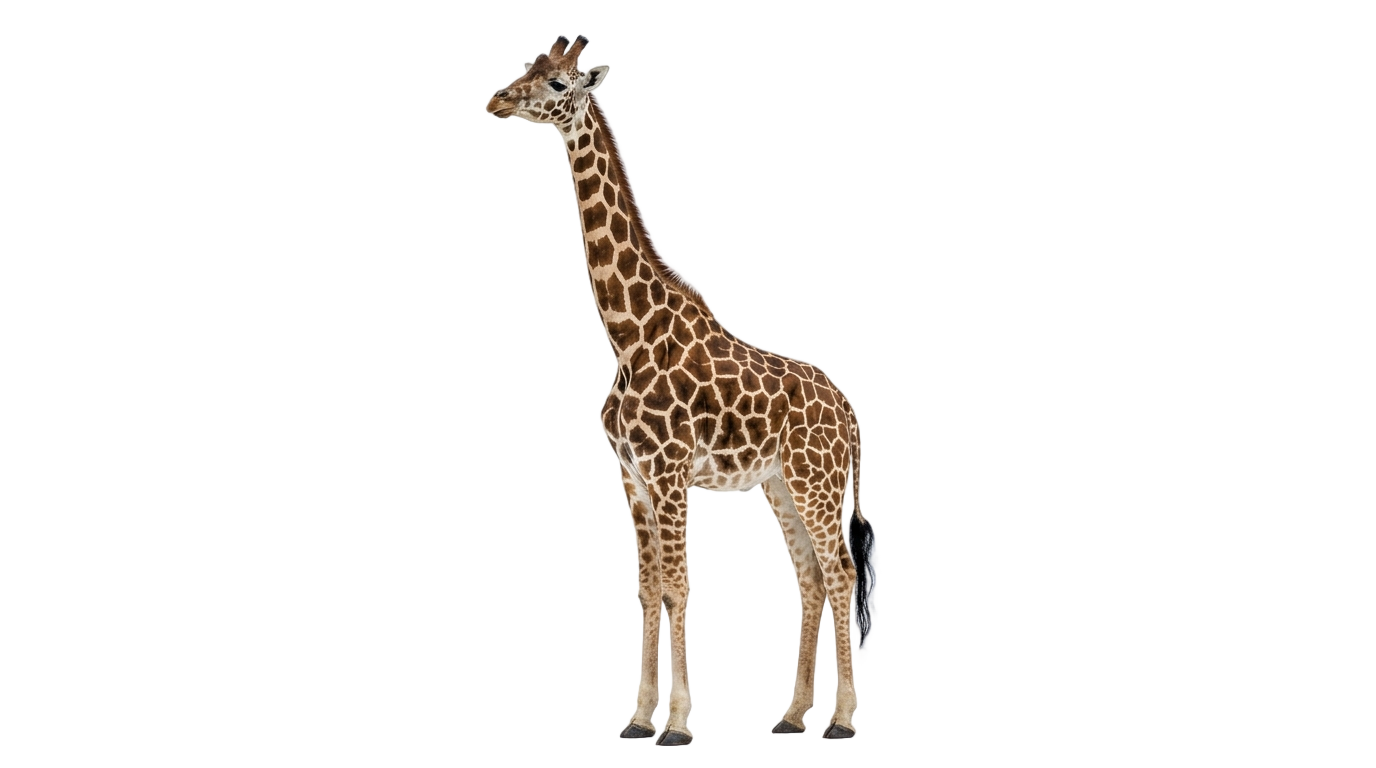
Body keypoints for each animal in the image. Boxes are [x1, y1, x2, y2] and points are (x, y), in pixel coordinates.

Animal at [487, 36, 874, 748]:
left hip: (818, 484)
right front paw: (637, 720)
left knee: (842, 575)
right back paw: (789, 717)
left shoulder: (669, 476)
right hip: (780, 488)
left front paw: (677, 726)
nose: (497, 100)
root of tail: (849, 411)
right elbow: (646, 589)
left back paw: (840, 721)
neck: (629, 337)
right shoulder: (631, 479)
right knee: (809, 579)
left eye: (555, 84)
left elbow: (676, 586)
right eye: (528, 70)